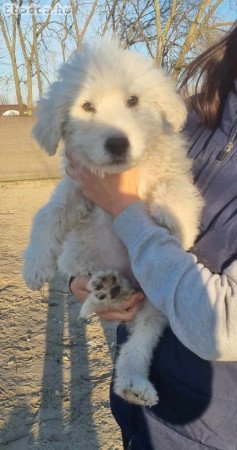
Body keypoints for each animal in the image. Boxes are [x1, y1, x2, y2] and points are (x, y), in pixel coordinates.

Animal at [23, 40, 203, 408]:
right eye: (87, 106)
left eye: (133, 100)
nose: (117, 143)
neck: (121, 175)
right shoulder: (75, 189)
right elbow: (47, 215)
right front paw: (34, 265)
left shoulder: (168, 170)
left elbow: (176, 188)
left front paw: (181, 223)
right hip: (86, 263)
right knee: (103, 301)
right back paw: (109, 289)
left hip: (156, 306)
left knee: (139, 343)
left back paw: (133, 381)